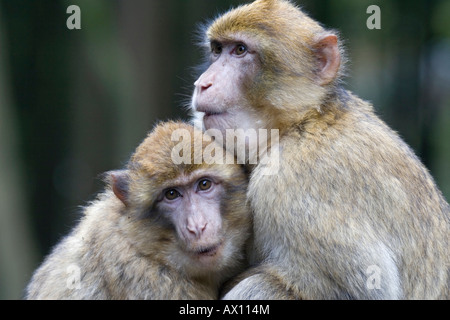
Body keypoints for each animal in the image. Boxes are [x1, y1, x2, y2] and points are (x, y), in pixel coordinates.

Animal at [191, 0, 450, 300]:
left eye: (240, 50)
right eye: (217, 50)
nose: (202, 83)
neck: (303, 121)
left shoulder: (290, 182)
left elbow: (367, 287)